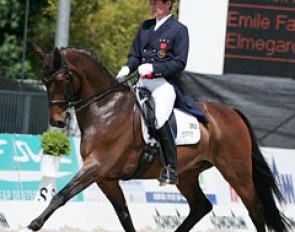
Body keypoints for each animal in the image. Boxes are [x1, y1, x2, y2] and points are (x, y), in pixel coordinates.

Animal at [28, 44, 290, 232]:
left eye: (60, 80)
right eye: (44, 81)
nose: (57, 122)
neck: (104, 108)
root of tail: (232, 112)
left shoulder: (97, 166)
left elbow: (61, 195)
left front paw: (35, 223)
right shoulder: (105, 178)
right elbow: (124, 215)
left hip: (236, 170)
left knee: (255, 207)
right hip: (188, 173)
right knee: (201, 206)